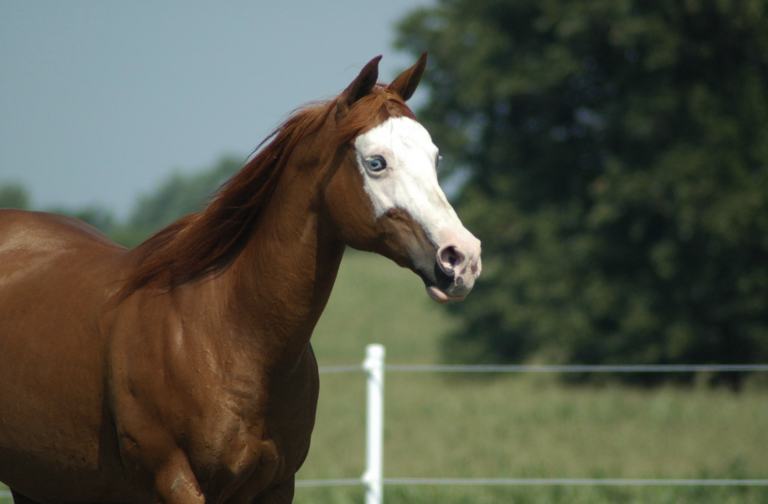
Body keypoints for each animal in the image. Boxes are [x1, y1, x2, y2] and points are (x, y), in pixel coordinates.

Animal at [0, 54, 481, 504]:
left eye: (435, 158)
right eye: (376, 162)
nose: (463, 258)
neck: (231, 335)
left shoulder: (277, 485)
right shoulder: (175, 481)